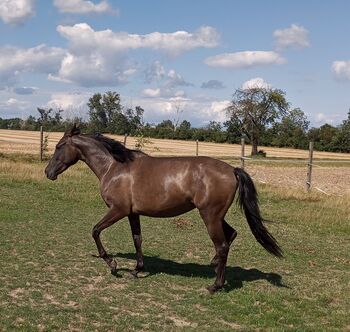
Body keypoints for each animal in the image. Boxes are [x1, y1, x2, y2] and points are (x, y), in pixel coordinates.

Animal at [45, 125, 284, 294]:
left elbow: (95, 230)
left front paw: (113, 264)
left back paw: (215, 285)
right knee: (231, 235)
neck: (113, 168)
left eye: (59, 146)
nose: (48, 172)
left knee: (223, 245)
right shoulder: (132, 213)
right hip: (215, 216)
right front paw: (137, 269)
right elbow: (137, 239)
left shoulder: (118, 210)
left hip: (210, 215)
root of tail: (233, 170)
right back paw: (214, 265)